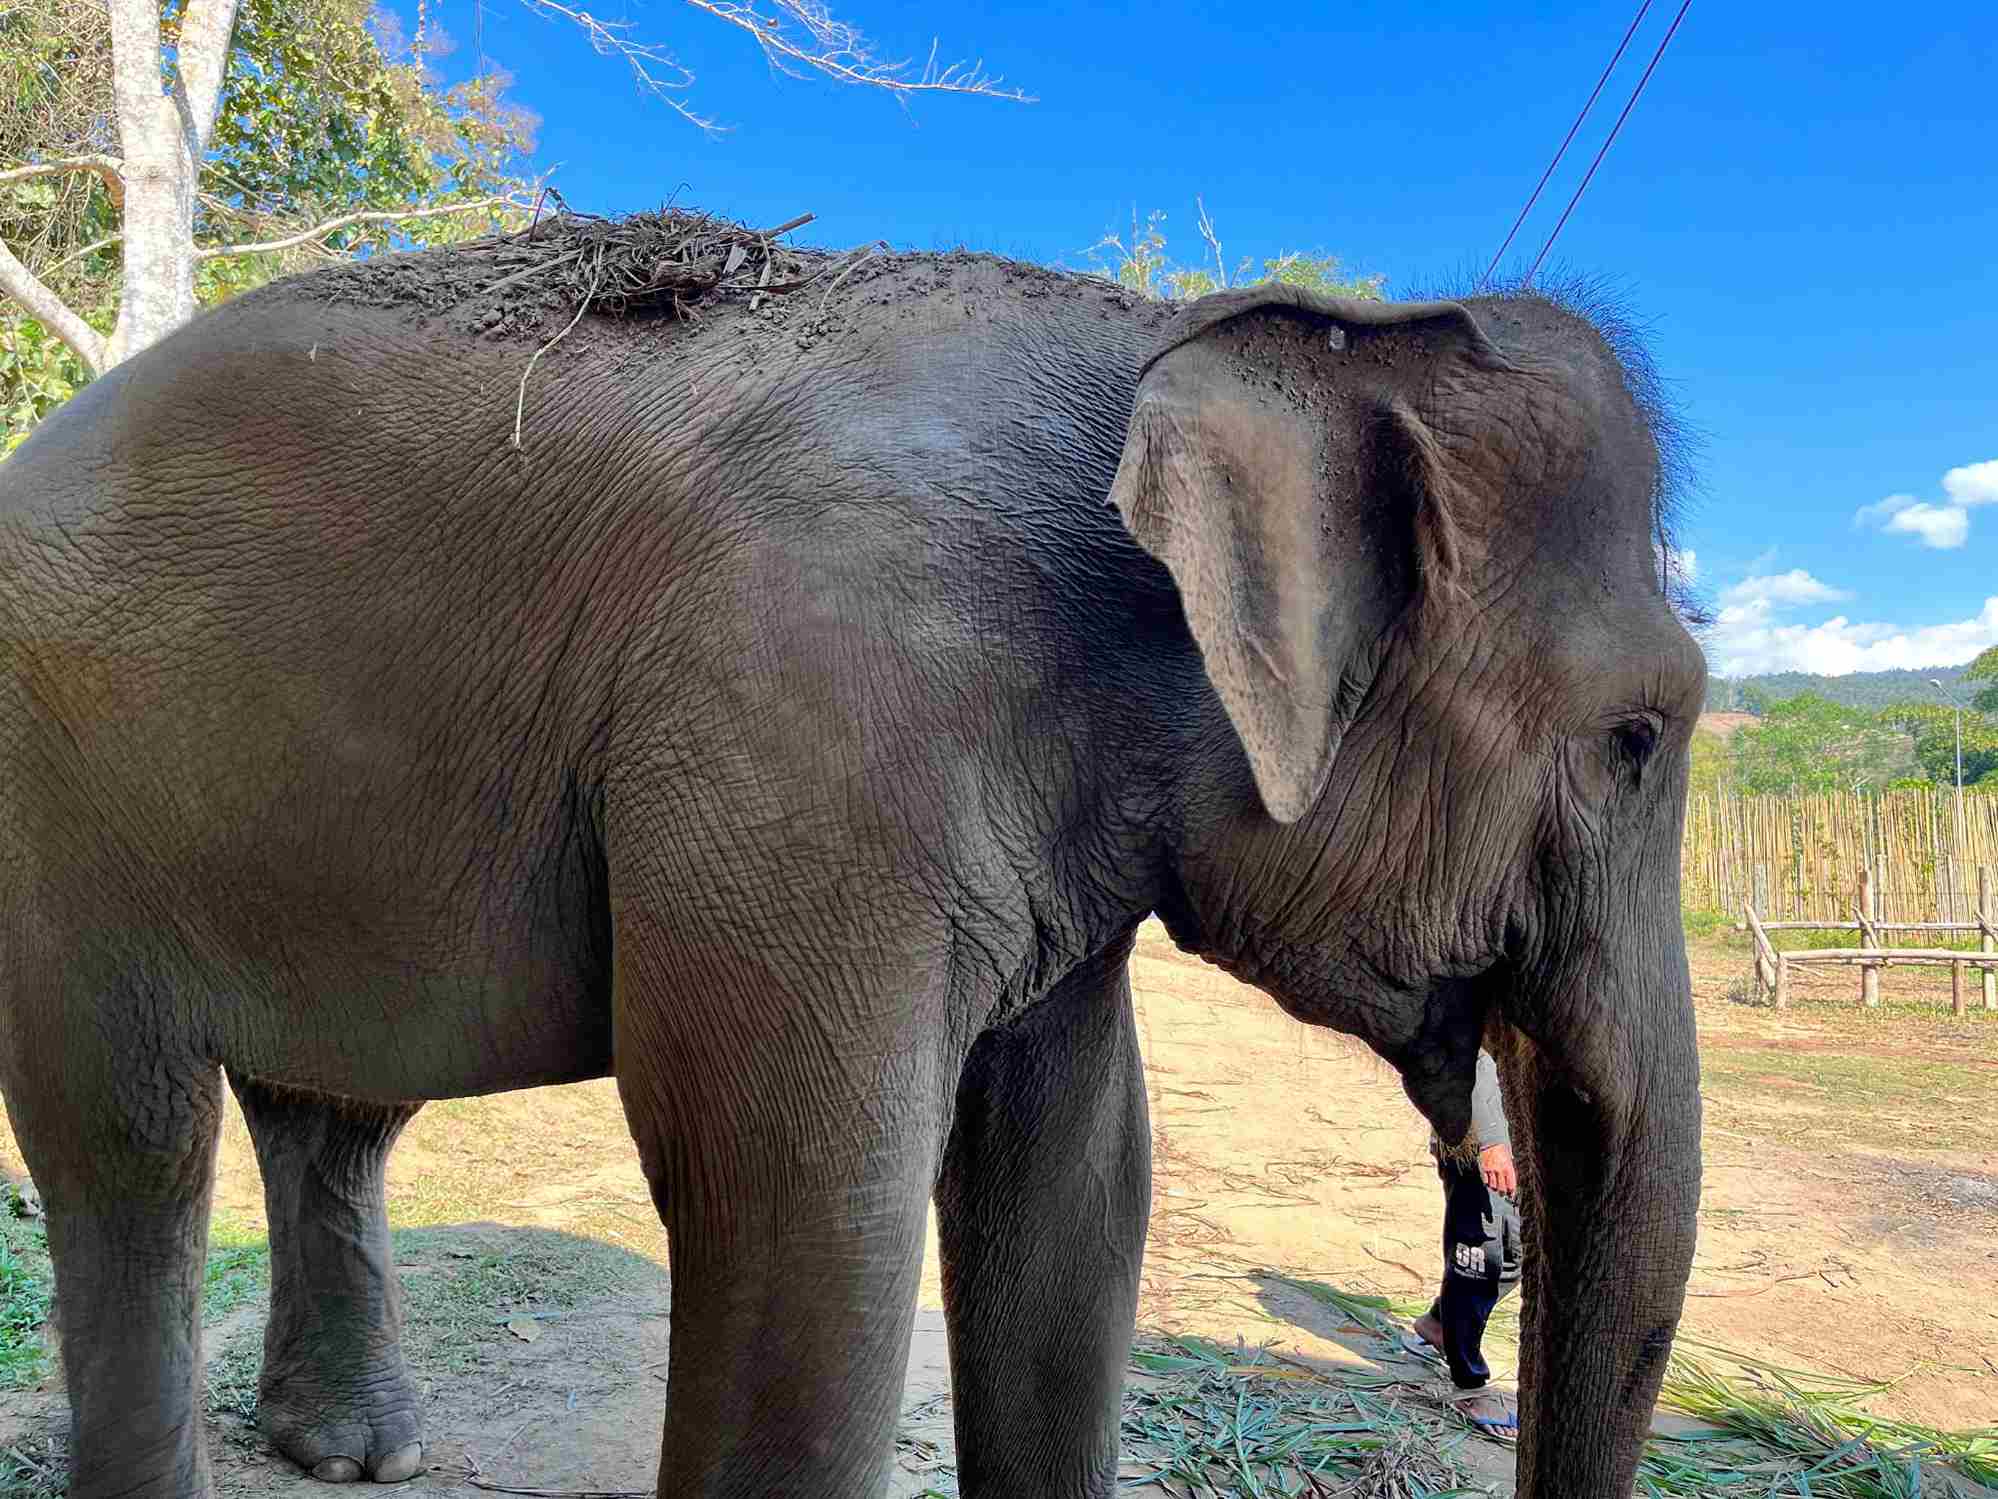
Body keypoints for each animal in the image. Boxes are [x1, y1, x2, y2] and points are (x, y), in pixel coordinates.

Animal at [0, 218, 1705, 1499]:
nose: (1479, 1254)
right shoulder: (802, 722)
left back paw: (352, 1451)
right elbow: (802, 1190)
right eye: (1639, 734)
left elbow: (1075, 1188)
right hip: (55, 815)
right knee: (129, 1145)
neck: (1171, 343)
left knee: (332, 1108)